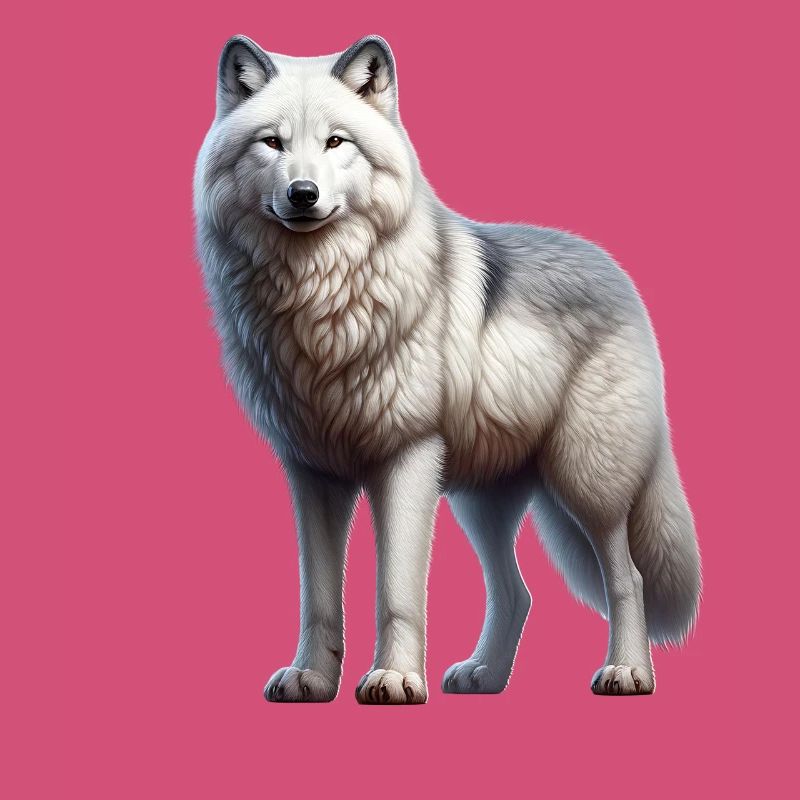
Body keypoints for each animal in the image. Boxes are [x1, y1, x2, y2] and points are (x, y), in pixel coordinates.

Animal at [194, 34, 701, 703]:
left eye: (336, 142)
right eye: (273, 142)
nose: (303, 193)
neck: (322, 299)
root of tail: (615, 270)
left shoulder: (406, 458)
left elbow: (397, 590)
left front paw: (395, 677)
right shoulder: (312, 472)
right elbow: (319, 597)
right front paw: (312, 678)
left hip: (586, 483)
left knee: (628, 577)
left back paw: (627, 673)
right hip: (482, 503)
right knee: (517, 593)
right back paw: (485, 676)